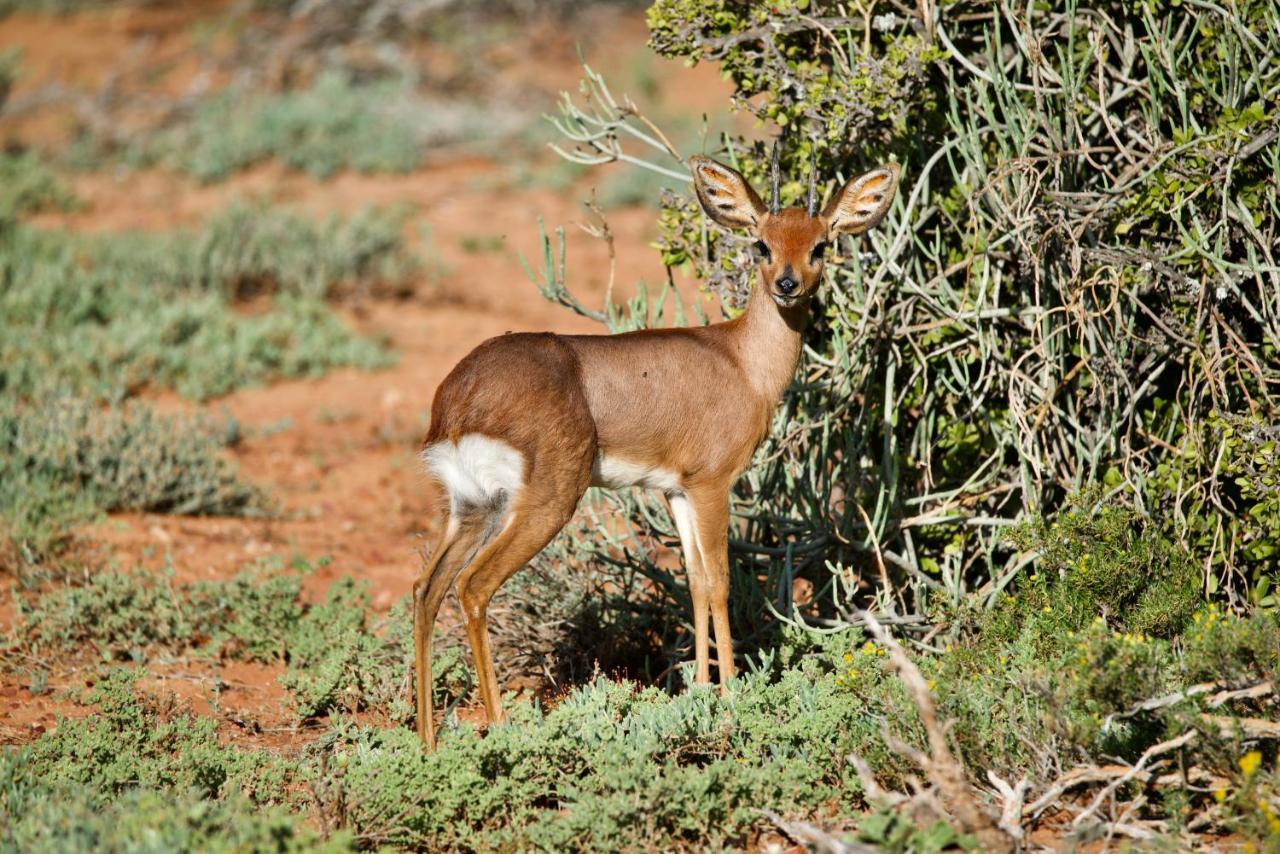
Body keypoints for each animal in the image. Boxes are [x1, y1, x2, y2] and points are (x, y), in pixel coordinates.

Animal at [414, 148, 896, 747]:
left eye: (821, 244)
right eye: (762, 242)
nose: (787, 284)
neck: (742, 362)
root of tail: (458, 397)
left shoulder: (676, 491)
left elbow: (695, 580)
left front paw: (701, 691)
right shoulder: (713, 484)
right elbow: (721, 580)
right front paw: (732, 699)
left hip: (472, 507)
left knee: (427, 589)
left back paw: (428, 741)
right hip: (545, 503)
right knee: (474, 587)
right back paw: (502, 728)